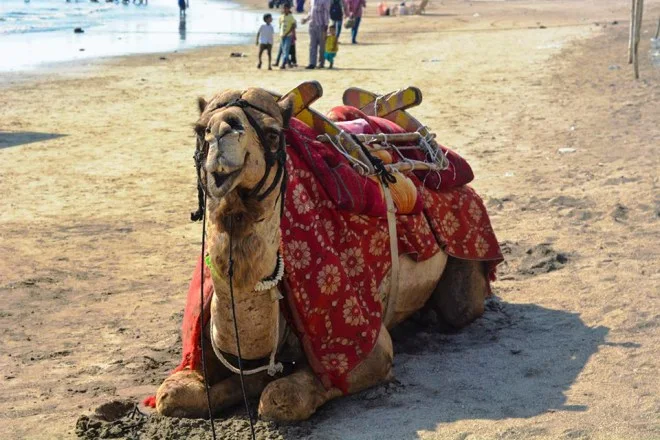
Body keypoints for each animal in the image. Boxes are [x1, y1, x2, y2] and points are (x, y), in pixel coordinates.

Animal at [155, 87, 490, 421]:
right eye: (200, 129)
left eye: (273, 133)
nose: (224, 130)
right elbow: (170, 396)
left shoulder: (366, 347)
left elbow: (281, 398)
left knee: (460, 307)